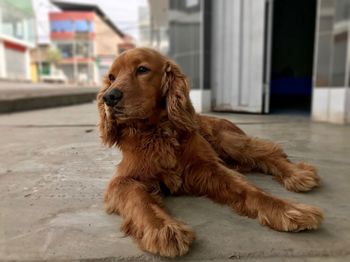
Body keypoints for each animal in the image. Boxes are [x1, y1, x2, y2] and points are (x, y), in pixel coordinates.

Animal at [97, 47, 324, 258]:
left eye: (142, 69)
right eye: (112, 77)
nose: (109, 97)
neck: (157, 132)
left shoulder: (208, 168)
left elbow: (249, 189)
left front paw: (288, 209)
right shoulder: (124, 180)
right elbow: (140, 199)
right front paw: (162, 228)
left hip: (229, 142)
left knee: (269, 151)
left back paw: (297, 174)